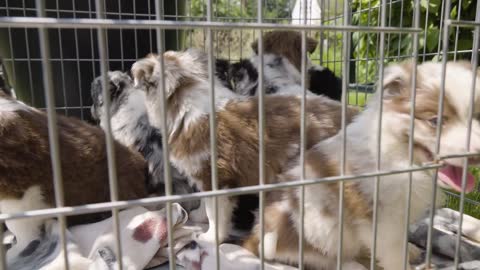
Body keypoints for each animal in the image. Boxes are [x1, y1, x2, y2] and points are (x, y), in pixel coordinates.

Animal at [130, 48, 356, 243]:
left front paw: (210, 238)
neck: (187, 107)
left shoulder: (216, 178)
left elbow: (215, 214)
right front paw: (198, 217)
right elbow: (204, 204)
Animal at [244, 61, 480, 270]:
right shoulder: (384, 222)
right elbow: (394, 254)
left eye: (477, 118)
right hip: (317, 232)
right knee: (319, 258)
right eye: (435, 121)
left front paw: (409, 250)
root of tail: (255, 235)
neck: (402, 156)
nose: (476, 153)